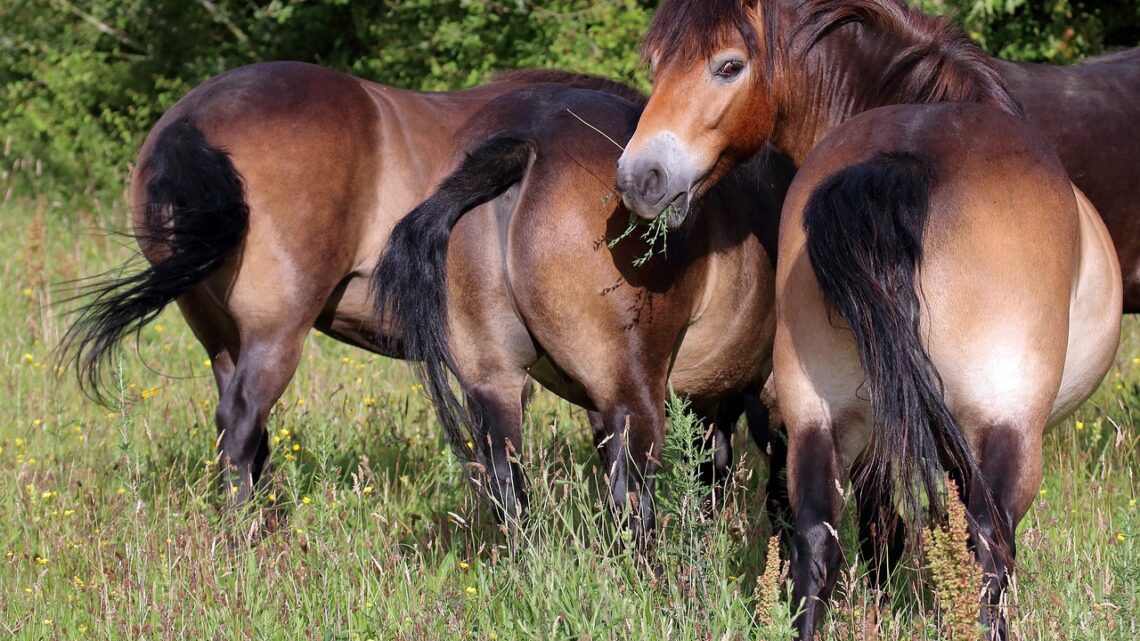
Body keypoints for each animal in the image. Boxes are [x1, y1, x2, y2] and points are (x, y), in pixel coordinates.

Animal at [615, 0, 1121, 634]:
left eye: (728, 66)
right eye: (657, 64)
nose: (638, 178)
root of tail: (904, 159)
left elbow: (879, 531)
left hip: (817, 415)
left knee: (816, 540)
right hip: (1006, 426)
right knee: (989, 544)